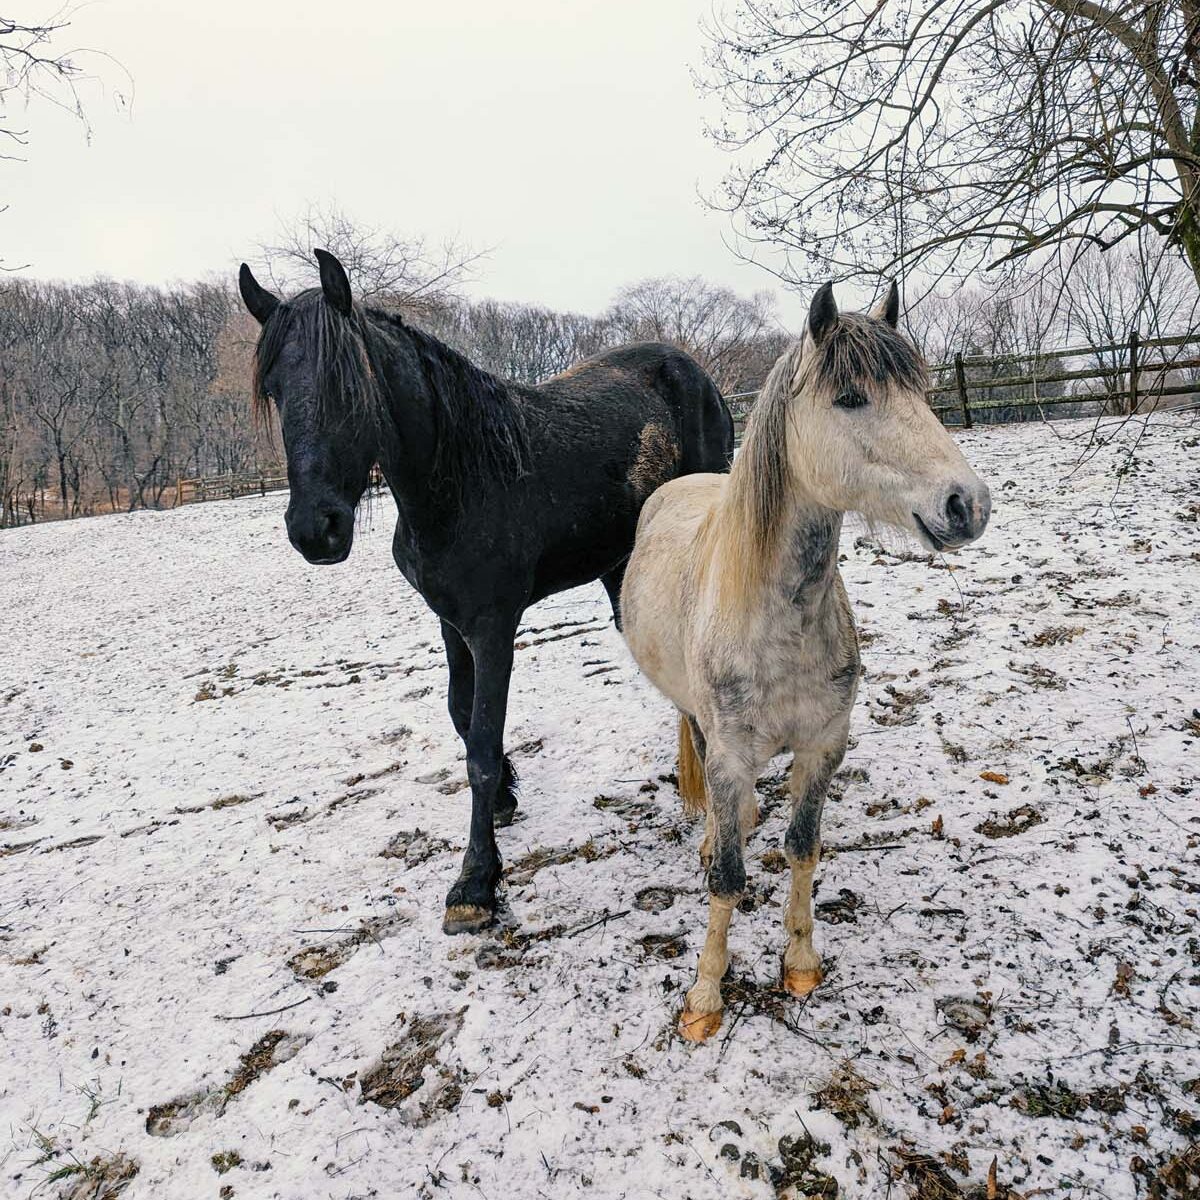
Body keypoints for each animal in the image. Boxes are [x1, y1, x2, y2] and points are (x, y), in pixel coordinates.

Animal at [238, 250, 729, 926]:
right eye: (275, 390)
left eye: (349, 387)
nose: (316, 529)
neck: (460, 480)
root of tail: (693, 371)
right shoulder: (450, 623)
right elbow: (460, 714)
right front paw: (505, 798)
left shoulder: (494, 629)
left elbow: (480, 746)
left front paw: (475, 881)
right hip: (623, 565)